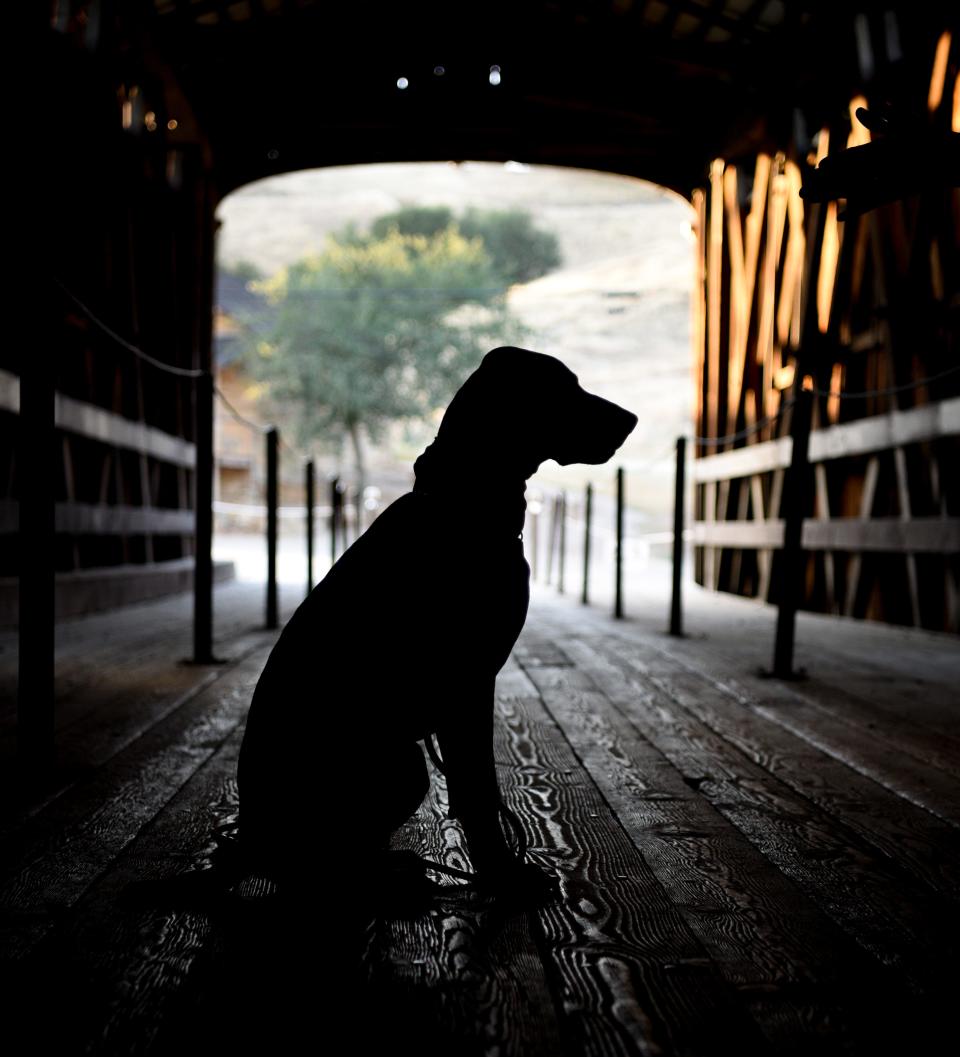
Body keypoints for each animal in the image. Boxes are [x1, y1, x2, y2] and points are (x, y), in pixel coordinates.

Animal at [235, 346, 634, 900]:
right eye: (562, 387)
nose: (631, 419)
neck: (462, 503)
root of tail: (247, 836)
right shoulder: (468, 683)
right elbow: (479, 788)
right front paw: (503, 873)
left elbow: (474, 789)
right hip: (401, 763)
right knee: (321, 860)